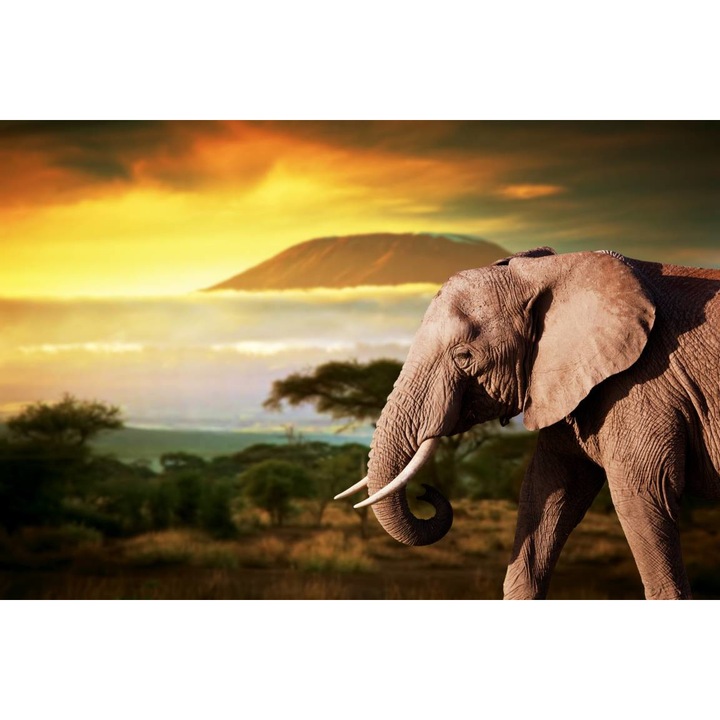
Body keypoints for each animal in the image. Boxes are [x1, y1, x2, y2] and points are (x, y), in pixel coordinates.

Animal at [335, 247, 720, 599]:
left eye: (464, 356)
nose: (425, 493)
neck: (547, 271)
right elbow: (547, 492)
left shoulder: (644, 382)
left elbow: (642, 493)